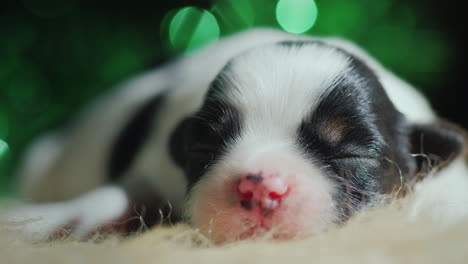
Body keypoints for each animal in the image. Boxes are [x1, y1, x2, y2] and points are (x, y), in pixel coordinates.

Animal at [4, 27, 468, 242]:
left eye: (352, 155)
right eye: (205, 145)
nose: (259, 187)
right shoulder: (149, 164)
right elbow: (112, 195)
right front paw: (47, 221)